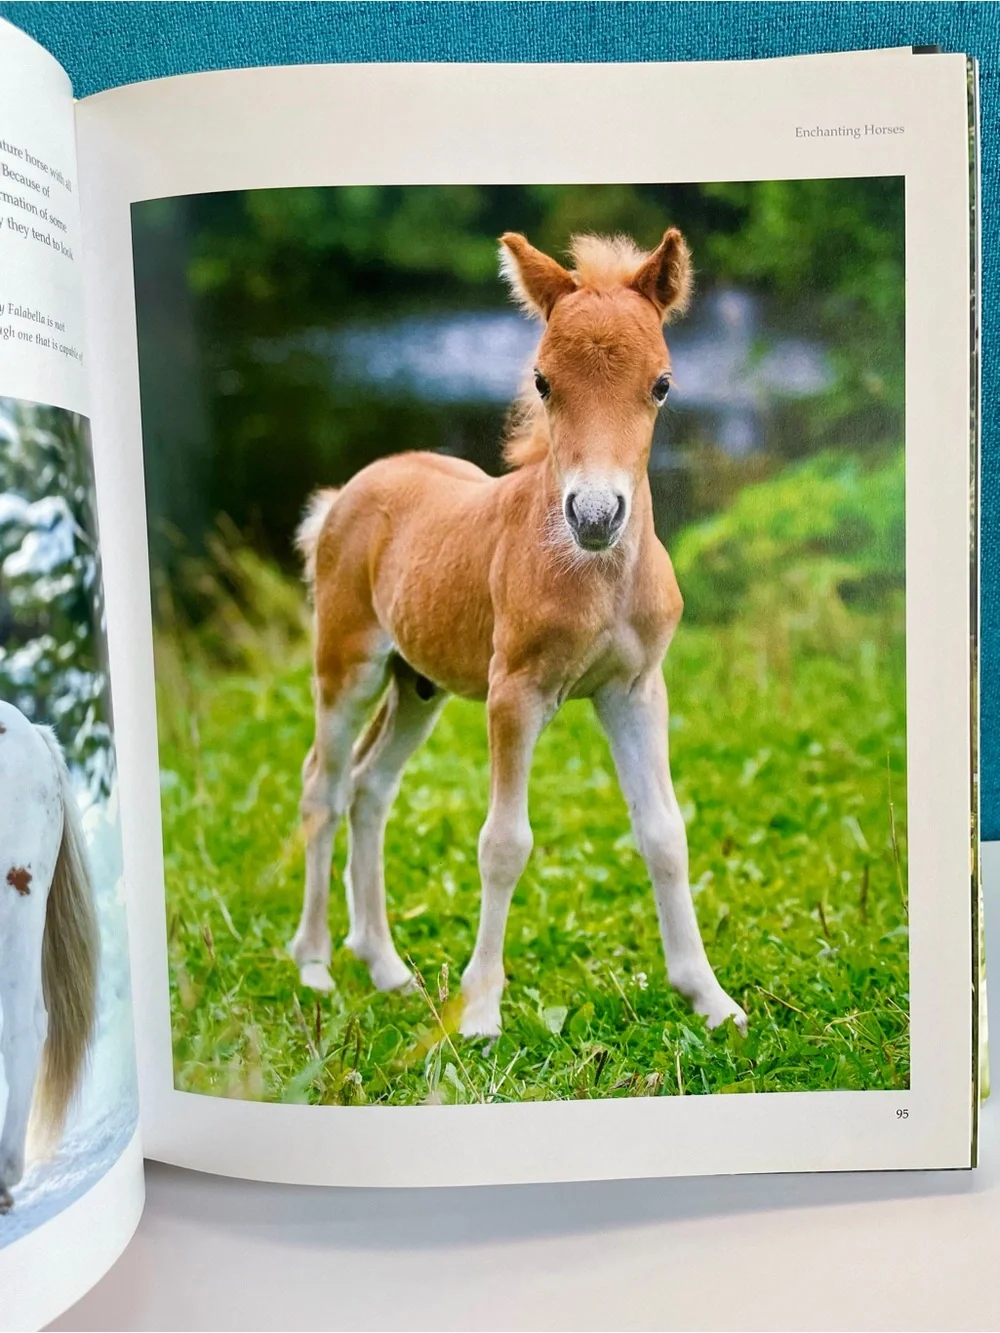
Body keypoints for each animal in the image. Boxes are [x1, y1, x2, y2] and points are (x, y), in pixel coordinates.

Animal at [290, 227, 747, 1040]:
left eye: (662, 384)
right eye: (541, 382)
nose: (594, 515)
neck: (596, 577)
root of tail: (347, 493)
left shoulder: (635, 689)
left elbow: (664, 832)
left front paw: (710, 998)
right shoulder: (516, 693)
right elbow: (504, 844)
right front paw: (478, 1013)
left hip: (419, 684)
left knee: (372, 786)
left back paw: (387, 967)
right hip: (347, 664)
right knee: (324, 785)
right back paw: (315, 964)